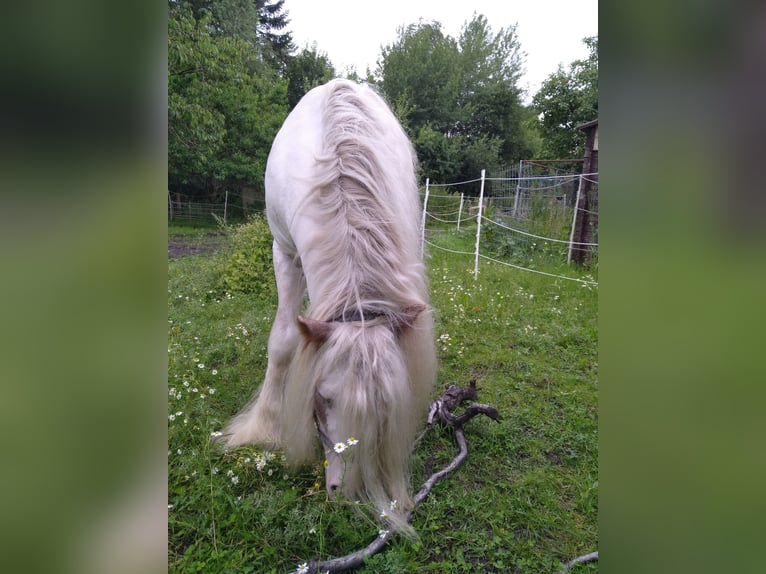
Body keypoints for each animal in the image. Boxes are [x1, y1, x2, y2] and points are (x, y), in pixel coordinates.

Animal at [222, 77, 438, 536]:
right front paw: (263, 427)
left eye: (384, 410)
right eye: (321, 398)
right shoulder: (284, 253)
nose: (343, 494)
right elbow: (283, 341)